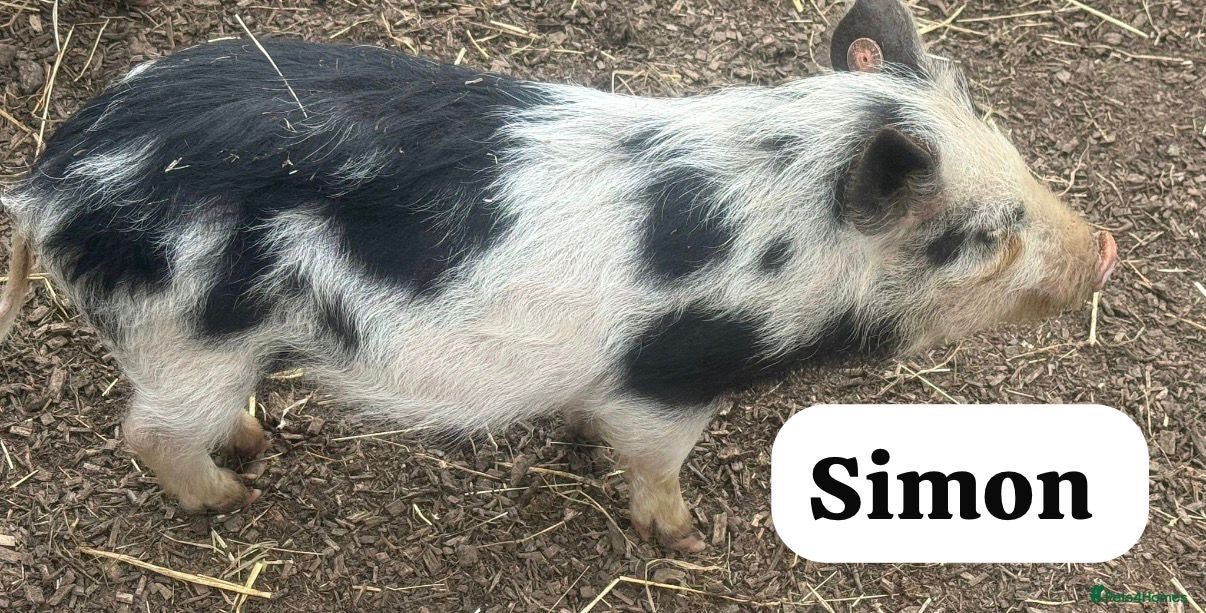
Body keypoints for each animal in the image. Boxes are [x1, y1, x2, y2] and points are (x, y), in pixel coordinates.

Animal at [0, 0, 1116, 552]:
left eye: (1018, 161)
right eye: (987, 234)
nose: (1104, 246)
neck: (779, 243)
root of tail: (50, 178)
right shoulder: (672, 376)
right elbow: (657, 458)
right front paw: (686, 539)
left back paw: (254, 439)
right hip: (183, 337)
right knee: (146, 431)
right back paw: (232, 495)